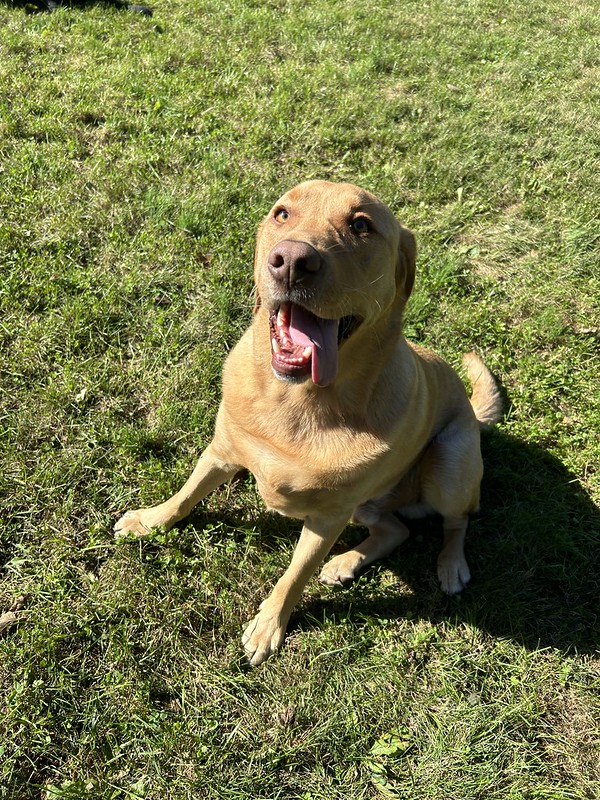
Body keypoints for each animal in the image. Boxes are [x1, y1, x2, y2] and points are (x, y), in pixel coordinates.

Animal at [113, 180, 502, 664]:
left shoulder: (328, 518)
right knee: (397, 528)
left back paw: (449, 565)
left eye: (361, 225)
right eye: (282, 214)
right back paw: (346, 562)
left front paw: (268, 626)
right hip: (370, 504)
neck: (294, 404)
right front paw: (150, 521)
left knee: (457, 520)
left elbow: (292, 576)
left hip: (449, 461)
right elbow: (185, 496)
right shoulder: (221, 451)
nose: (293, 261)